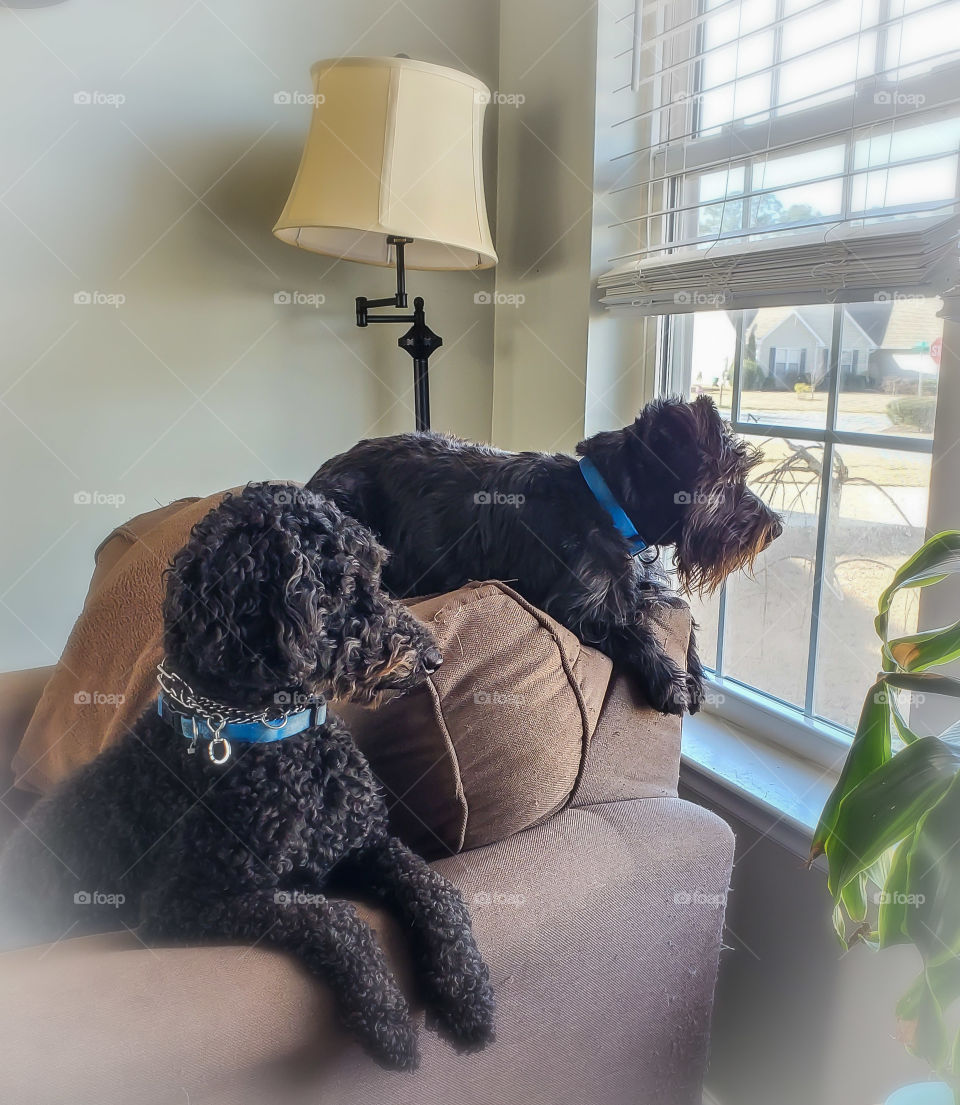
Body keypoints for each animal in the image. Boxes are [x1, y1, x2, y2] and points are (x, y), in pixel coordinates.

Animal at [0, 483, 494, 1069]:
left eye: (378, 572)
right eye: (346, 584)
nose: (436, 657)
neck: (278, 739)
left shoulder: (365, 843)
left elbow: (436, 887)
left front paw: (466, 992)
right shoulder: (187, 904)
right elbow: (334, 917)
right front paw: (387, 1020)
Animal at [311, 397, 782, 716]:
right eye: (730, 478)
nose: (775, 527)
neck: (607, 503)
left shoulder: (640, 586)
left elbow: (681, 613)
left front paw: (696, 671)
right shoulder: (577, 609)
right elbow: (632, 630)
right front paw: (669, 679)